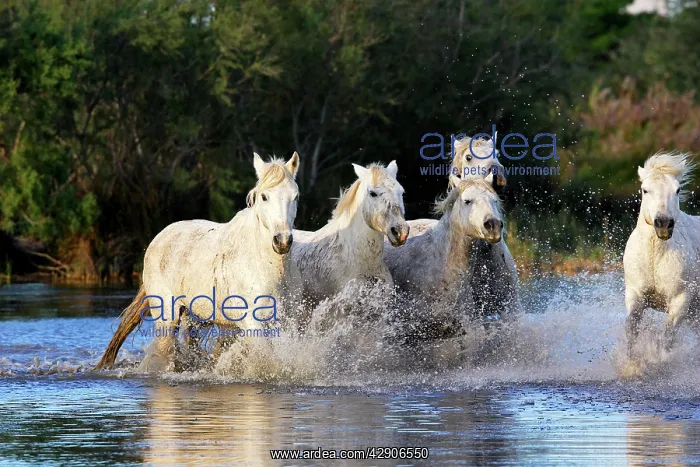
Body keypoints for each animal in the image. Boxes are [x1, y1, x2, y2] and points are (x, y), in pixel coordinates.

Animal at [95, 152, 303, 370]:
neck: (267, 267)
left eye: (295, 196)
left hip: (192, 317)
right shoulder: (252, 322)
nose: (282, 241)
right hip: (167, 316)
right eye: (264, 197)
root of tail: (159, 239)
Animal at [624, 151, 700, 355]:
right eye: (645, 190)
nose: (664, 224)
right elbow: (631, 331)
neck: (654, 257)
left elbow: (666, 339)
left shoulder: (681, 300)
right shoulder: (635, 295)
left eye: (678, 190)